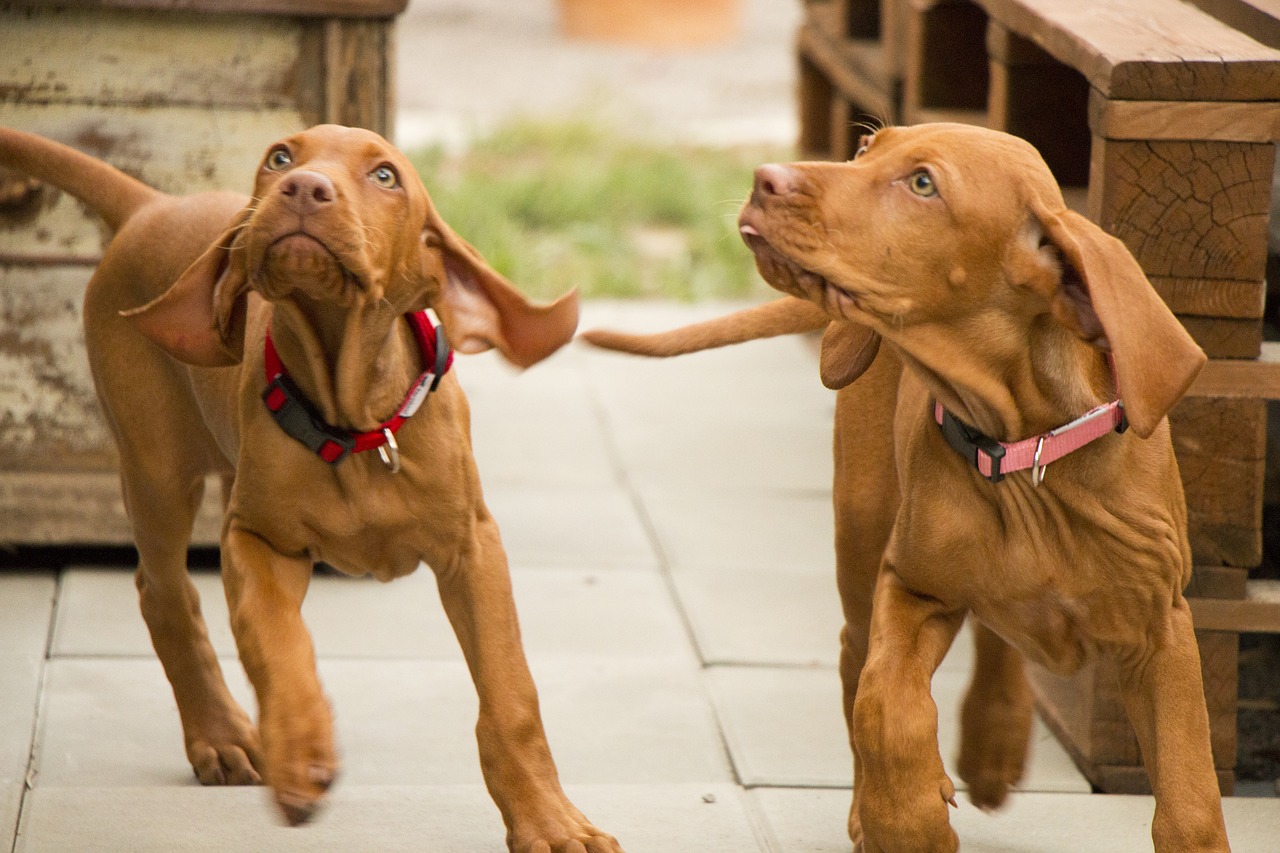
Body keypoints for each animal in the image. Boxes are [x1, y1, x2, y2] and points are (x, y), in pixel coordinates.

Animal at [0, 121, 619, 850]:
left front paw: (550, 821)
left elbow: (510, 693)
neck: (353, 419)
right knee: (165, 592)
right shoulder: (258, 540)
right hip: (157, 468)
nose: (302, 188)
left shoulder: (473, 548)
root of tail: (154, 205)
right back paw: (220, 735)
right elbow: (280, 644)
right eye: (279, 156)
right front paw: (299, 750)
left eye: (385, 176)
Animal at [586, 122, 1223, 845]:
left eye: (923, 183)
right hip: (864, 533)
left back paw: (993, 746)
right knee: (855, 659)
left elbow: (1190, 796)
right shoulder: (912, 585)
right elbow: (885, 706)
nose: (764, 179)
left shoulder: (1161, 630)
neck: (1025, 447)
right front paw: (906, 820)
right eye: (865, 150)